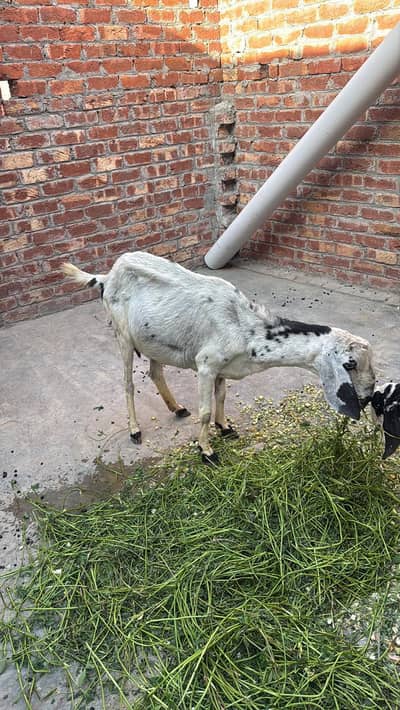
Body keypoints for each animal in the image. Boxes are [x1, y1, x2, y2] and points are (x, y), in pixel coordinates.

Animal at [62, 251, 376, 463]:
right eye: (350, 364)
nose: (368, 397)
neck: (247, 327)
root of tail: (106, 276)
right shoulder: (206, 365)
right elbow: (204, 410)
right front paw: (206, 450)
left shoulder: (224, 368)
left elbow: (221, 397)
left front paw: (225, 428)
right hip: (123, 336)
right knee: (128, 384)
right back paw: (135, 430)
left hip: (154, 339)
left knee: (155, 372)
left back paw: (177, 408)